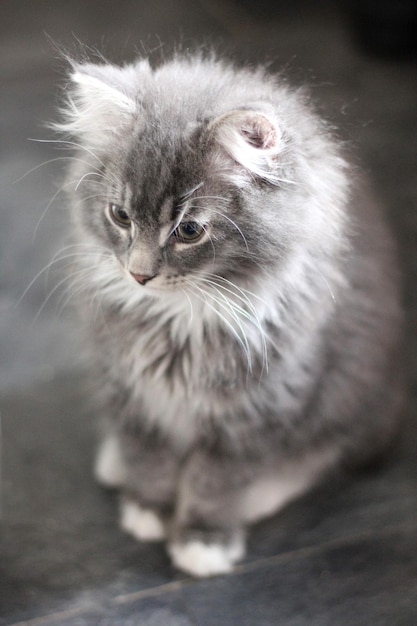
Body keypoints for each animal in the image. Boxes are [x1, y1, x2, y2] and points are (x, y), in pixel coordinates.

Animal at [55, 52, 404, 576]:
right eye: (120, 216)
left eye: (189, 230)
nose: (138, 275)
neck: (183, 319)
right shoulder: (129, 387)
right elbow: (148, 454)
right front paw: (146, 510)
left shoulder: (260, 404)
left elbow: (216, 481)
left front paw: (202, 541)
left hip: (356, 397)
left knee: (325, 454)